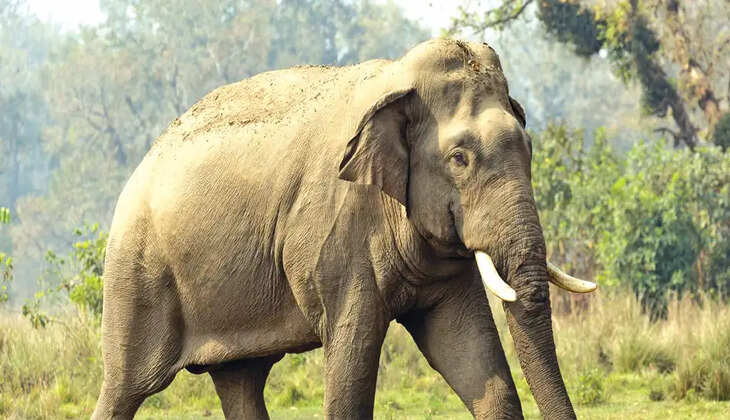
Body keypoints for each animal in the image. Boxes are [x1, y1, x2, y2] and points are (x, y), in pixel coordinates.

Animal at [91, 38, 596, 420]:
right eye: (460, 159)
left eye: (529, 147)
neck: (397, 80)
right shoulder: (336, 236)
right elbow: (352, 363)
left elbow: (473, 360)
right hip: (137, 275)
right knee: (125, 388)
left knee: (242, 379)